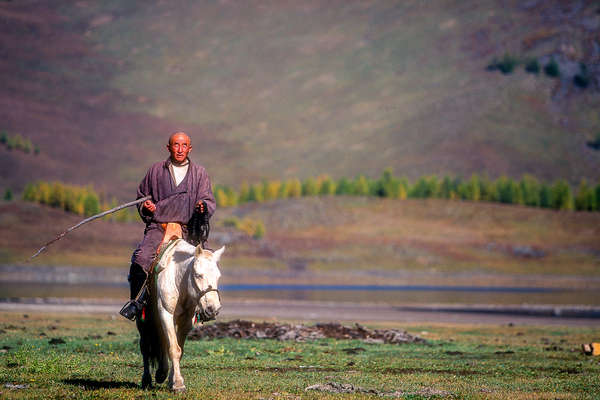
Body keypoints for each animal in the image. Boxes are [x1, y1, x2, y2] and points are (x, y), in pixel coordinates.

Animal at [137, 239, 224, 392]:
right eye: (198, 274)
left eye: (218, 276)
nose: (212, 309)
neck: (178, 280)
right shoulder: (166, 314)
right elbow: (173, 349)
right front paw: (178, 384)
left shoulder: (186, 321)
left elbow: (179, 349)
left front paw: (172, 380)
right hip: (144, 321)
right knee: (145, 346)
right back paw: (147, 379)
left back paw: (161, 373)